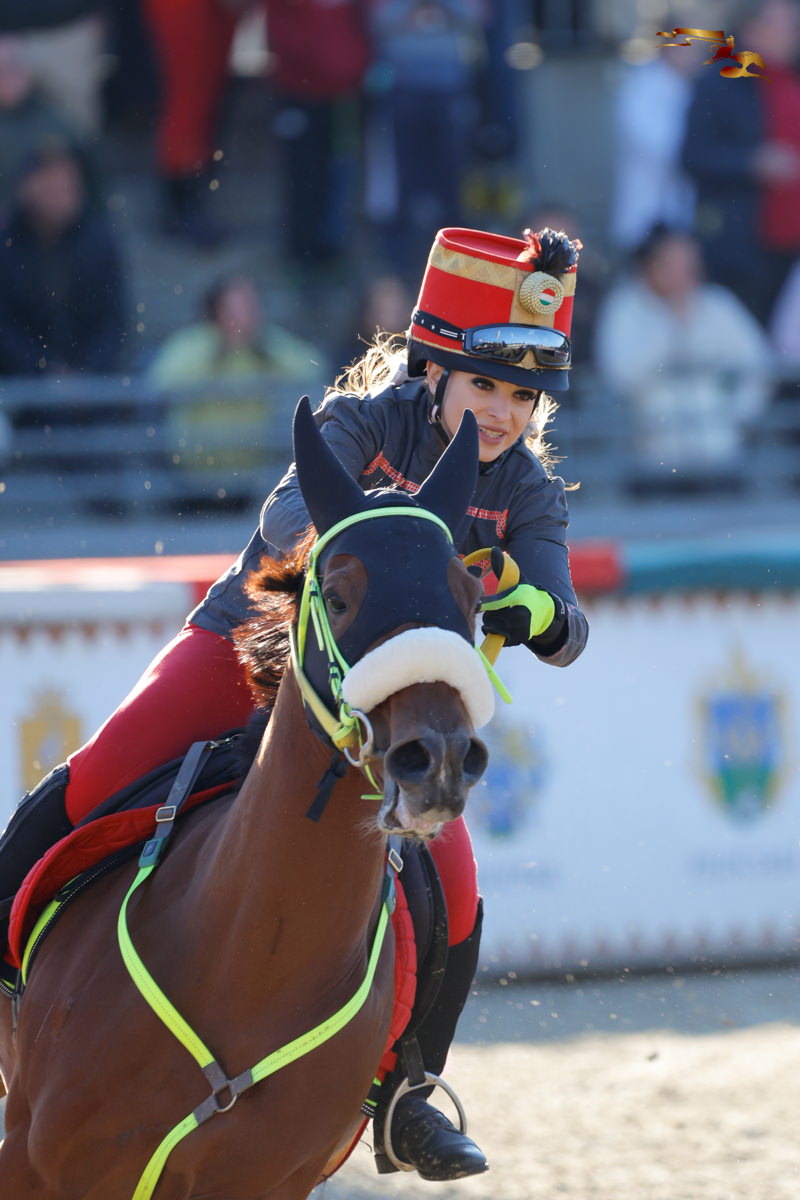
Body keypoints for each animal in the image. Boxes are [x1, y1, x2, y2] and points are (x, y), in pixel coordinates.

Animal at [0, 398, 495, 1199]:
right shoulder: (34, 1159)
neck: (249, 961)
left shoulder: (266, 1178)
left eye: (473, 597)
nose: (439, 759)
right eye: (338, 594)